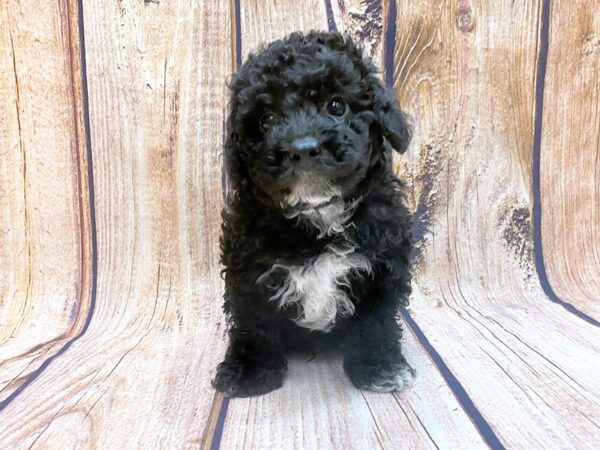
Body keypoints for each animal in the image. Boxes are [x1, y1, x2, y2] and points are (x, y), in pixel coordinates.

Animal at [213, 30, 414, 398]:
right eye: (267, 120)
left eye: (336, 106)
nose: (302, 148)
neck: (318, 215)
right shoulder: (247, 270)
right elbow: (253, 321)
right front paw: (250, 371)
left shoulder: (383, 265)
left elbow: (376, 321)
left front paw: (381, 368)